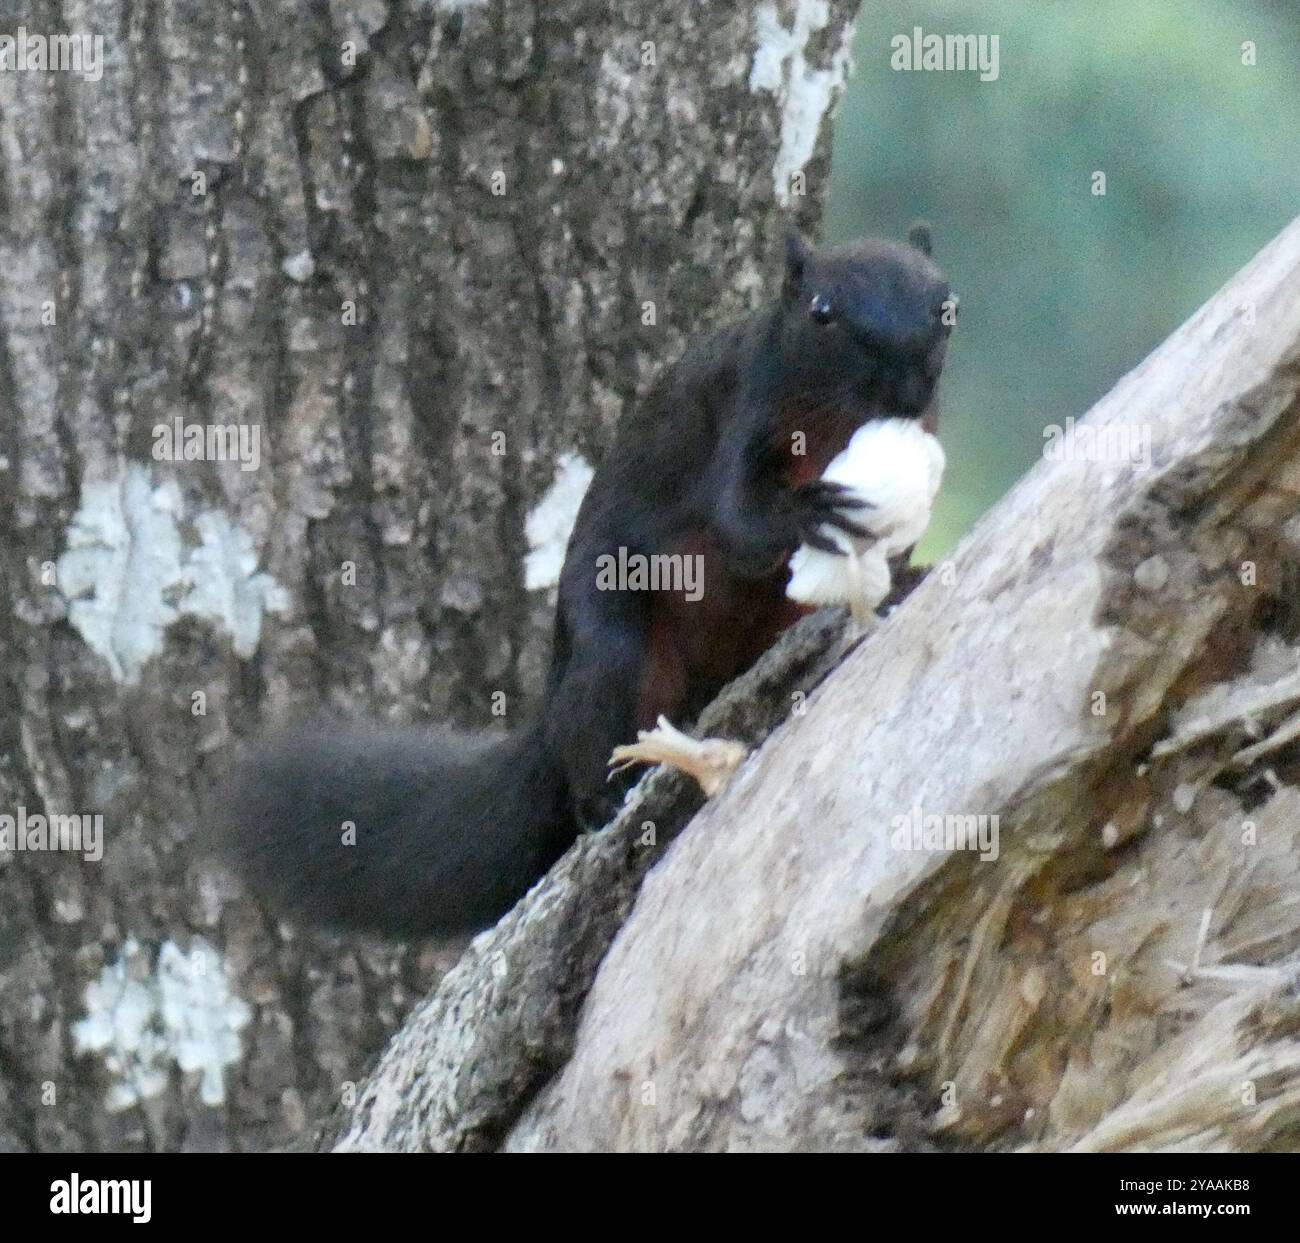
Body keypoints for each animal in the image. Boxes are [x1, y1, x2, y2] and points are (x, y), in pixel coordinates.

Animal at [218, 227, 955, 938]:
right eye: (821, 313)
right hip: (610, 650)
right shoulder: (741, 412)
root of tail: (549, 715)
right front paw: (807, 512)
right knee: (593, 744)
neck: (832, 427)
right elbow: (741, 523)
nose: (903, 387)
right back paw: (604, 796)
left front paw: (901, 562)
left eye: (946, 308)